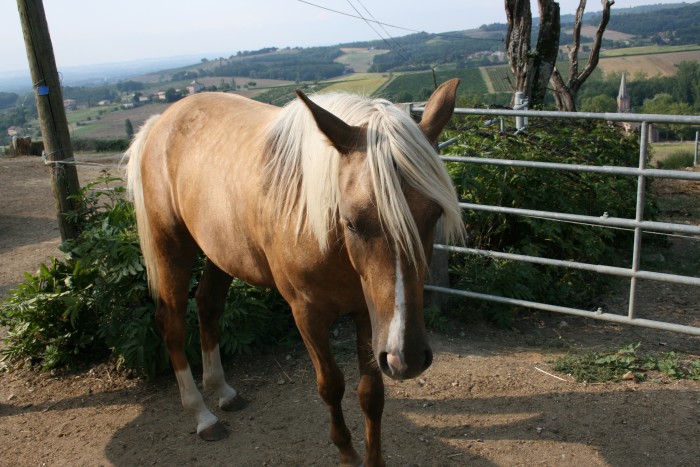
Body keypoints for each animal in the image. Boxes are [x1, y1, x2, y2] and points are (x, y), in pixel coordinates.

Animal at [125, 78, 464, 466]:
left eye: (434, 215)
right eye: (352, 222)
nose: (405, 358)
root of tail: (160, 122)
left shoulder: (369, 314)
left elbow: (370, 392)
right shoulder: (307, 315)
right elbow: (331, 385)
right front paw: (347, 454)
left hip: (221, 251)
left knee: (208, 305)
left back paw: (222, 391)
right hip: (172, 247)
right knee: (172, 323)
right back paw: (202, 414)